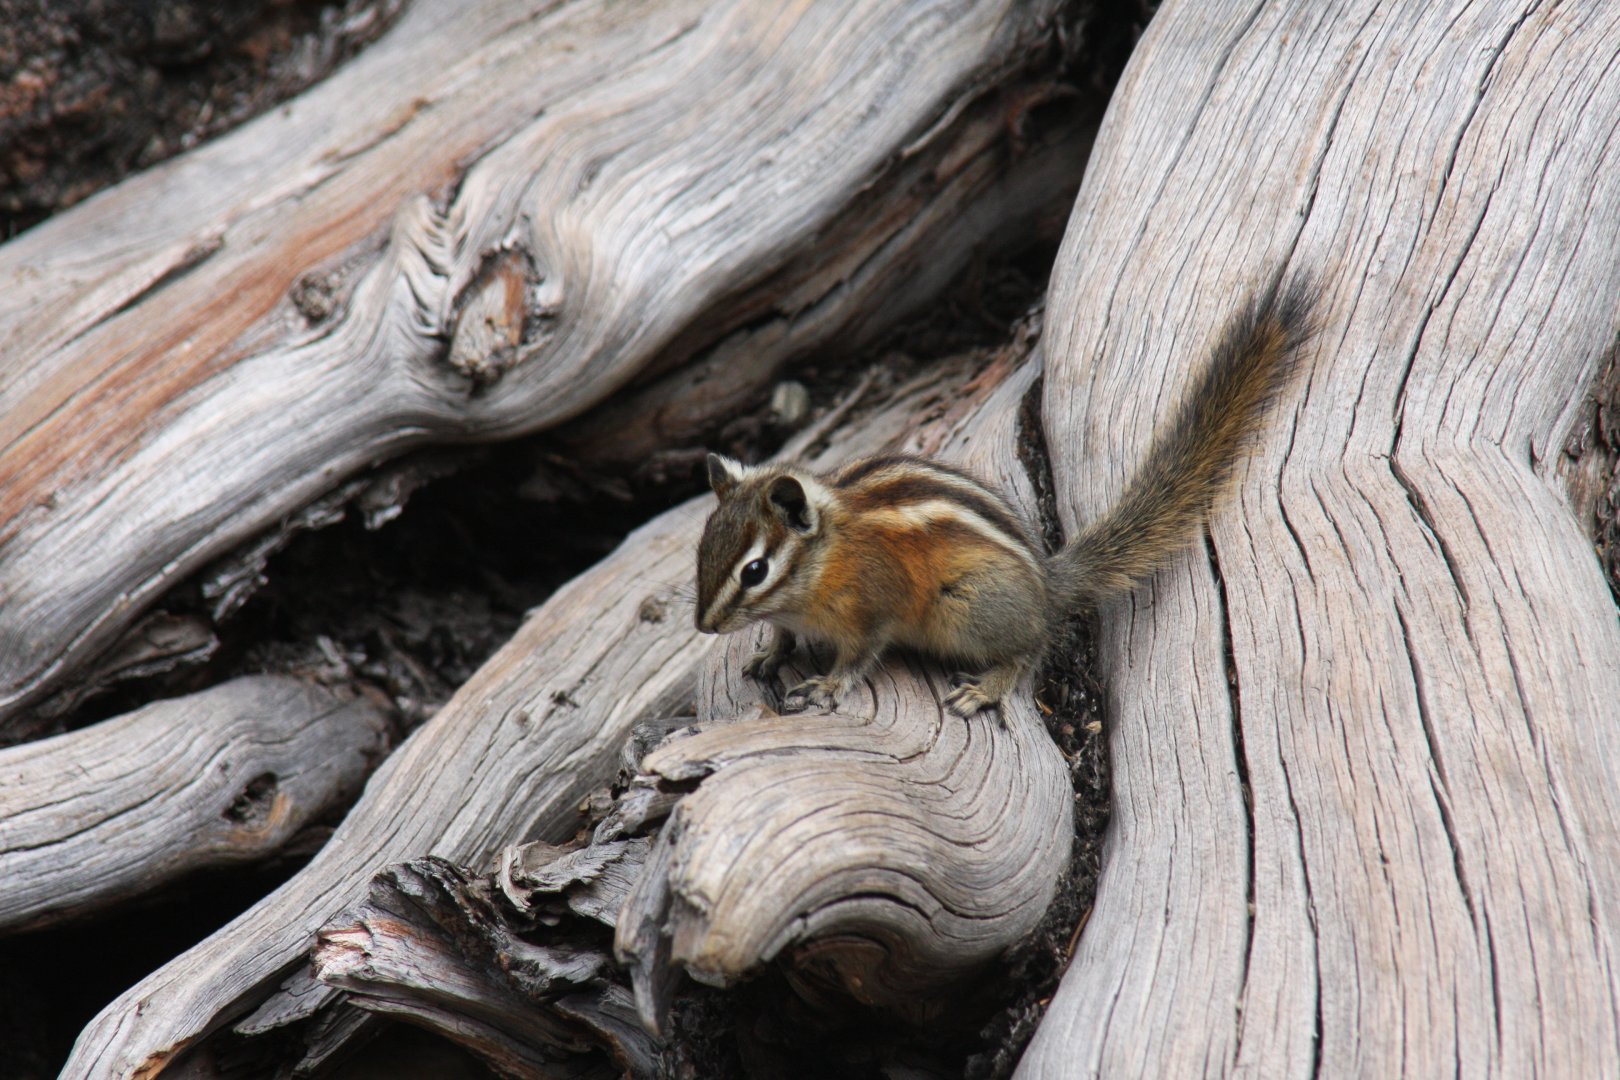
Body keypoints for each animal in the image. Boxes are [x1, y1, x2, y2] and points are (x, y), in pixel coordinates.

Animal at [694, 281, 1312, 718]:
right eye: (701, 551)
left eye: (754, 570)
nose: (704, 626)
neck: (822, 563)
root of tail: (1046, 584)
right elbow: (782, 632)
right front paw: (770, 652)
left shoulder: (873, 609)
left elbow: (860, 656)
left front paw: (827, 684)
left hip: (968, 606)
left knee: (1032, 647)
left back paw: (988, 687)